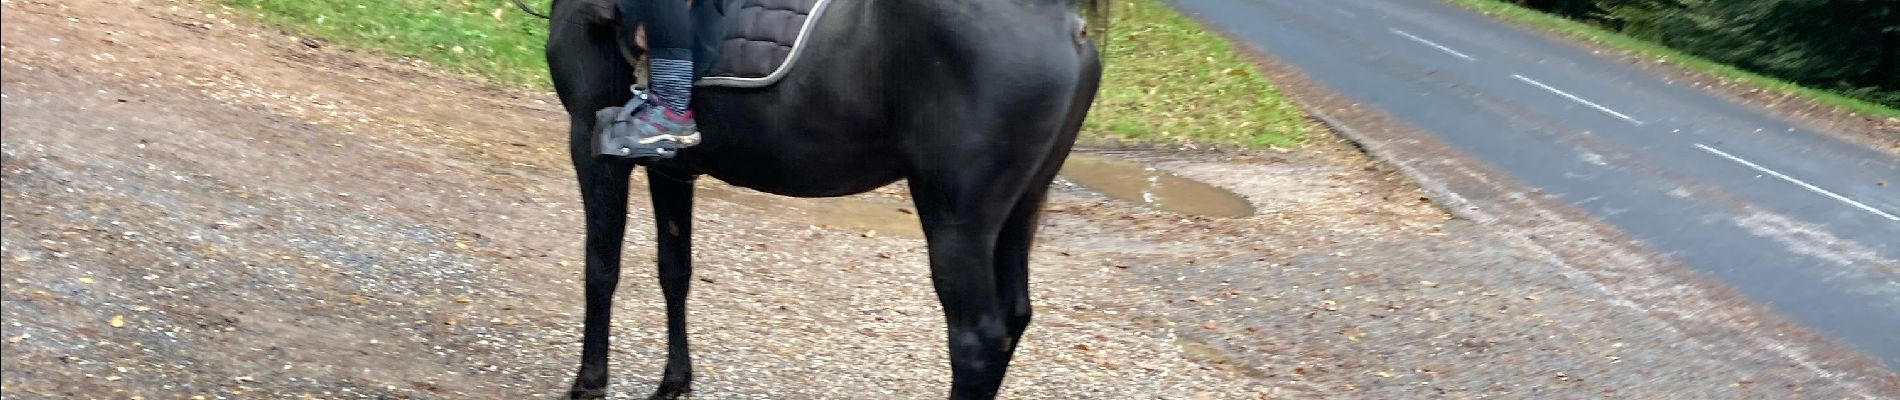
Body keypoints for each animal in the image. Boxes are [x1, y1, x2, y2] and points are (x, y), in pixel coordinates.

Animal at [535, 0, 1109, 396]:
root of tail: (1065, 23)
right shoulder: (673, 170)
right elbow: (674, 272)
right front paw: (675, 381)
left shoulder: (591, 142)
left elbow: (601, 267)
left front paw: (589, 381)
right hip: (1021, 209)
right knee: (1013, 319)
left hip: (956, 220)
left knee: (976, 341)